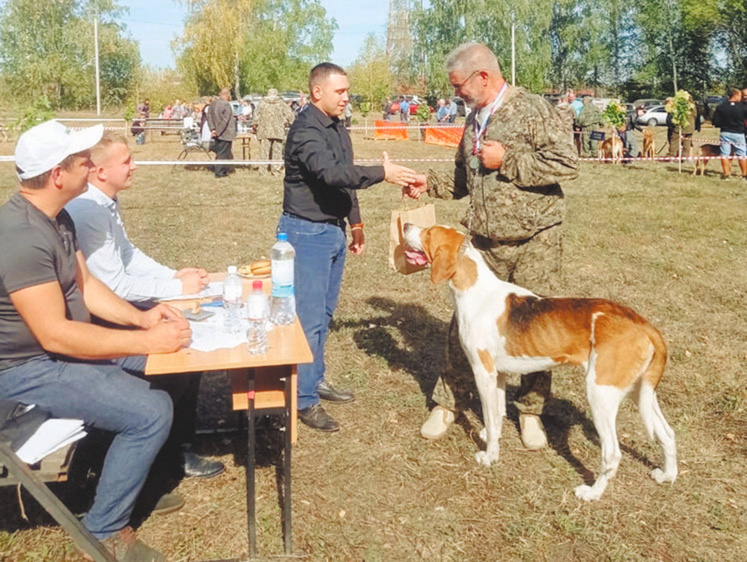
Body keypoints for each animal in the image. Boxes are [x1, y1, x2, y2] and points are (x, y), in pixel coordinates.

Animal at [404, 223, 676, 498]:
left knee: (612, 454)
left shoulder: (484, 374)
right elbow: (497, 415)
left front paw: (489, 457)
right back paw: (667, 475)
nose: (405, 225)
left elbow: (491, 419)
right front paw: (491, 439)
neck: (476, 290)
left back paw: (592, 493)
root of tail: (644, 325)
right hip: (640, 392)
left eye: (428, 232)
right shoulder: (499, 376)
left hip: (601, 395)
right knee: (668, 434)